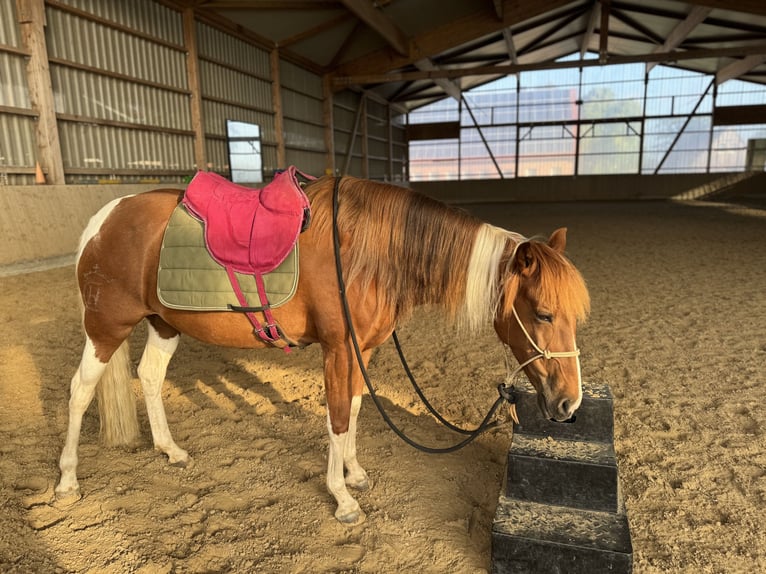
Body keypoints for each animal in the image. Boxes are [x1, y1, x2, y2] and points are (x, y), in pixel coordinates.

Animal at [55, 174, 590, 525]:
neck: (372, 251)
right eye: (544, 313)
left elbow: (352, 409)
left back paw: (171, 451)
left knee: (148, 377)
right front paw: (343, 499)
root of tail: (106, 217)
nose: (570, 403)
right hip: (106, 328)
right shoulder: (337, 348)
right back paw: (67, 481)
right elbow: (335, 416)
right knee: (80, 392)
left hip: (163, 325)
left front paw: (354, 475)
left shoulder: (362, 352)